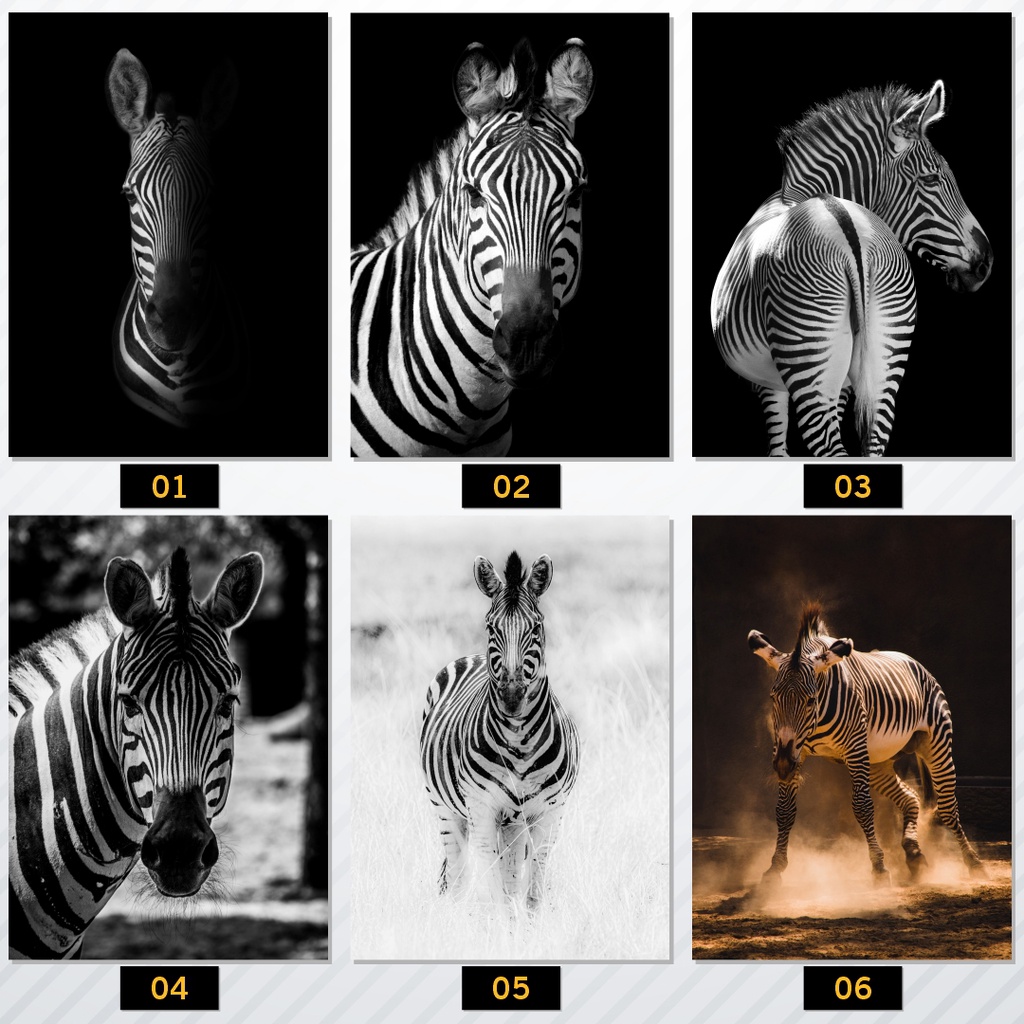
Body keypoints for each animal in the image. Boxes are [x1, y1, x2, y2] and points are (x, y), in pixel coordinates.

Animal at [419, 551, 579, 909]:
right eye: (491, 627)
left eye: (536, 626)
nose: (512, 696)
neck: (519, 741)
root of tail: (474, 656)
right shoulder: (482, 809)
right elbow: (497, 893)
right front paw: (501, 925)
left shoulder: (550, 814)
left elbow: (531, 892)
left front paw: (529, 924)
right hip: (445, 809)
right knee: (458, 873)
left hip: (514, 822)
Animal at [712, 80, 992, 456]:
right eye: (931, 179)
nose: (986, 263)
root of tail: (844, 220)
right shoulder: (832, 382)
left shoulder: (771, 384)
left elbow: (778, 451)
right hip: (886, 355)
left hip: (809, 353)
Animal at [748, 603, 985, 886]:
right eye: (773, 698)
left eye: (810, 700)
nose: (782, 766)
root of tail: (914, 662)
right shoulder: (794, 749)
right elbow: (784, 811)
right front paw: (775, 868)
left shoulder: (854, 749)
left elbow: (862, 807)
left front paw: (879, 867)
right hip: (878, 762)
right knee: (911, 798)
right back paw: (914, 853)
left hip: (935, 743)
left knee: (948, 808)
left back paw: (973, 862)